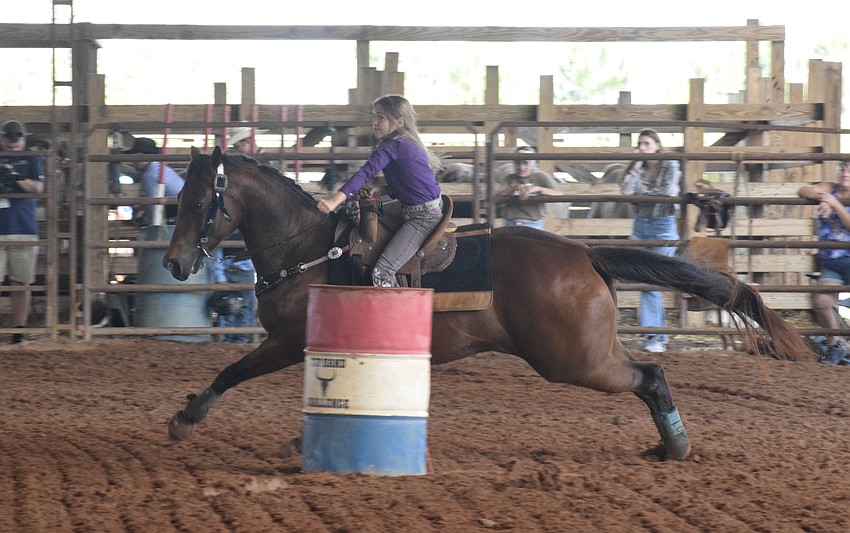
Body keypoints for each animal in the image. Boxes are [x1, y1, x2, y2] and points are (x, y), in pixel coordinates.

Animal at [162, 146, 816, 461]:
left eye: (196, 203)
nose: (172, 264)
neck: (310, 248)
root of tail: (585, 254)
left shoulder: (288, 341)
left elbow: (234, 370)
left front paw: (186, 419)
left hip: (573, 360)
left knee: (650, 375)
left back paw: (674, 447)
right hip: (582, 354)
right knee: (648, 375)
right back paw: (667, 444)